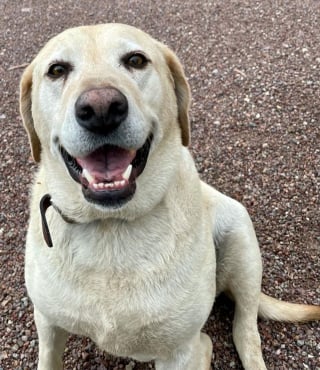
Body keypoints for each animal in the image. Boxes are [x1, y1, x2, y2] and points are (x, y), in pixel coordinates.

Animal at [20, 23, 320, 370]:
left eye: (136, 60)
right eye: (57, 70)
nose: (101, 109)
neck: (111, 226)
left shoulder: (178, 350)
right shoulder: (48, 324)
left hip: (242, 241)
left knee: (243, 332)